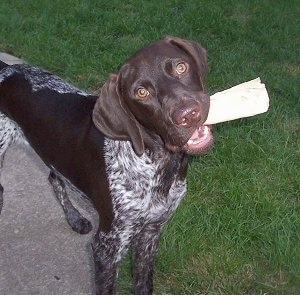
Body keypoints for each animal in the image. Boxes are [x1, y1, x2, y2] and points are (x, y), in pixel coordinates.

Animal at [0, 35, 213, 294]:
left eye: (181, 67)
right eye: (141, 92)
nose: (189, 114)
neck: (157, 165)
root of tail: (6, 69)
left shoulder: (151, 233)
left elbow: (144, 283)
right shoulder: (107, 247)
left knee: (53, 178)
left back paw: (75, 219)